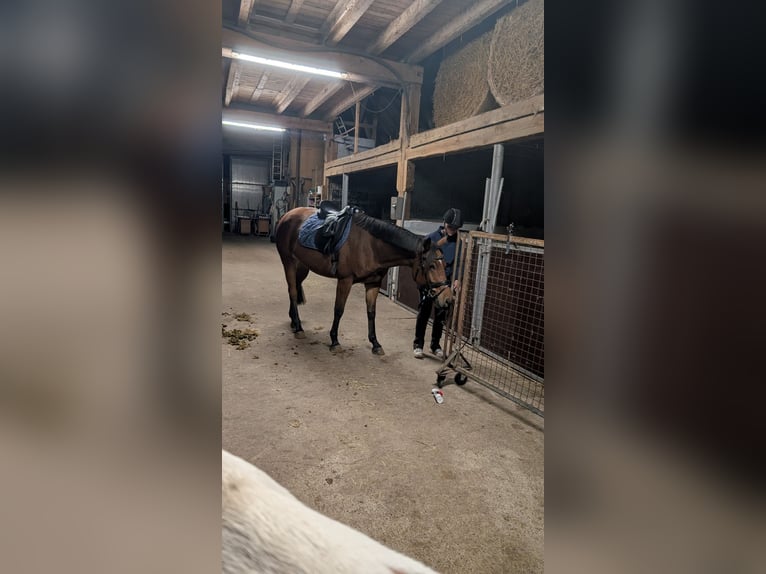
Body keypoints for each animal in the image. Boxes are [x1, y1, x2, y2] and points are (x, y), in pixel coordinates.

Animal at [275, 207, 453, 355]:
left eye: (445, 265)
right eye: (431, 266)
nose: (448, 299)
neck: (372, 247)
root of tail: (287, 215)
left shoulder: (373, 284)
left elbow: (371, 313)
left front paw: (375, 343)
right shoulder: (345, 281)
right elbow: (339, 310)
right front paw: (334, 341)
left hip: (302, 266)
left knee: (295, 288)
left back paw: (294, 322)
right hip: (288, 261)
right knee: (292, 291)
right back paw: (299, 328)